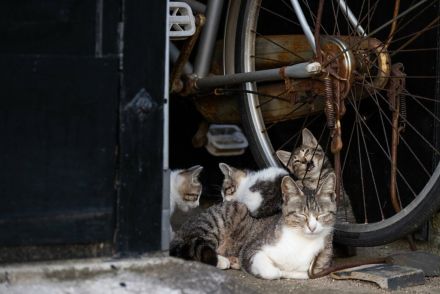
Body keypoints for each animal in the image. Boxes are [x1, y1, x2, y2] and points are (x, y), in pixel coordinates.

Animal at [170, 173, 336, 280]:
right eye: (301, 215)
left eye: (321, 215)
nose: (312, 227)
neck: (302, 242)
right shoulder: (252, 249)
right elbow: (272, 272)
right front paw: (277, 271)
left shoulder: (317, 266)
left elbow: (303, 273)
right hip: (217, 221)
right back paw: (222, 260)